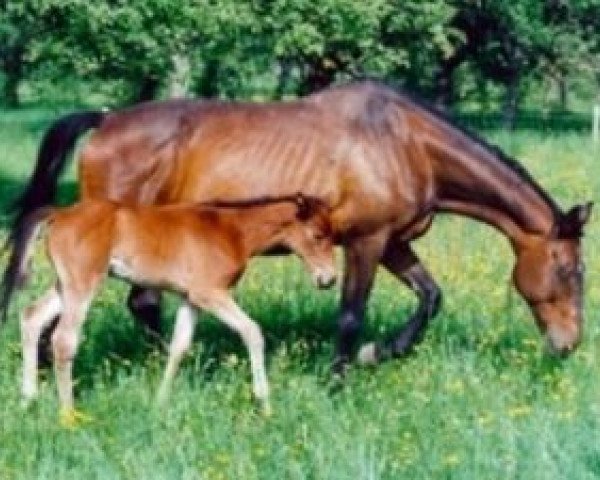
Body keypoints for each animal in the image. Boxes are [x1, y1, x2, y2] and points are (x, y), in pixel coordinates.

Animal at [1, 193, 338, 422]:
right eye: (318, 235)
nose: (329, 279)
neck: (231, 230)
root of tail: (59, 213)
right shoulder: (210, 294)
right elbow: (252, 332)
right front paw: (265, 404)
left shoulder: (191, 298)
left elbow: (179, 346)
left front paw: (160, 404)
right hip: (83, 284)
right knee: (63, 340)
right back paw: (69, 414)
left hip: (65, 286)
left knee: (31, 318)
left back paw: (27, 400)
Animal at [2, 79, 592, 372]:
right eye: (570, 270)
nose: (569, 345)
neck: (406, 143)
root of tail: (105, 121)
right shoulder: (364, 244)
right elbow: (351, 316)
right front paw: (338, 379)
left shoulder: (393, 243)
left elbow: (430, 298)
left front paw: (379, 355)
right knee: (122, 305)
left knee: (127, 304)